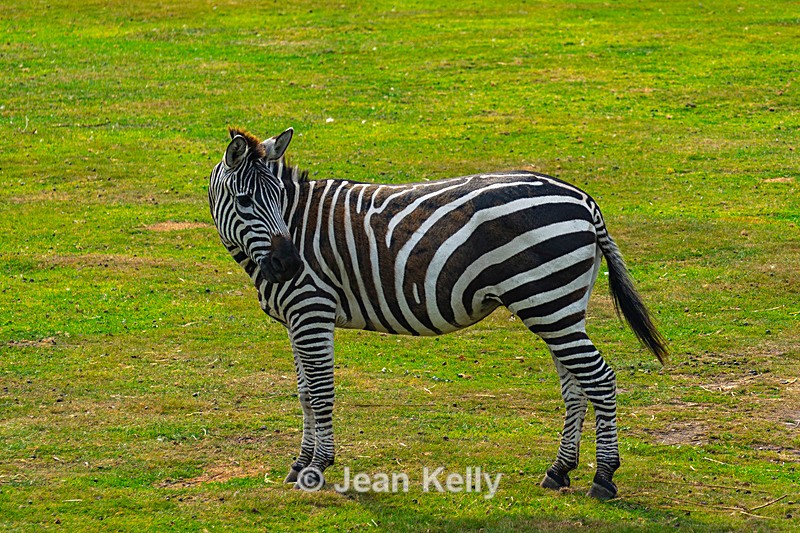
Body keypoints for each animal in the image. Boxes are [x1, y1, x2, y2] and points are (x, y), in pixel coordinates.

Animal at [207, 126, 667, 500]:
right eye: (245, 200)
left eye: (278, 201)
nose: (289, 265)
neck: (296, 226)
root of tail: (584, 200)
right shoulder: (296, 319)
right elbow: (303, 392)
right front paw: (300, 463)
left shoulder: (311, 310)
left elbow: (320, 393)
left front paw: (316, 468)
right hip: (561, 307)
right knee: (576, 386)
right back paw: (559, 470)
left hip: (548, 302)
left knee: (600, 380)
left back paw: (604, 477)